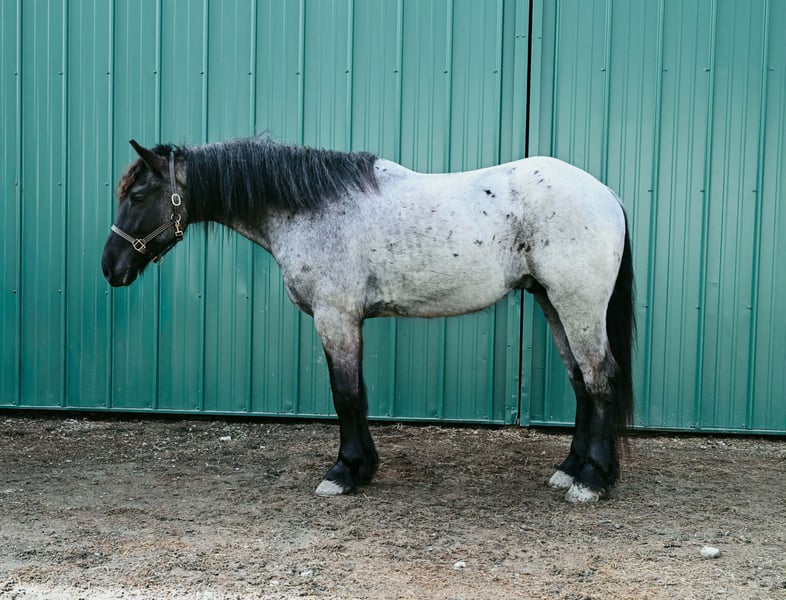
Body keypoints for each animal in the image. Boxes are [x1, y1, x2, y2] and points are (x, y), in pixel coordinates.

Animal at [101, 136, 635, 503]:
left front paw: (344, 472)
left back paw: (591, 481)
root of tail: (606, 194)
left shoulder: (335, 317)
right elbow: (355, 392)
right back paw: (570, 469)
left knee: (600, 378)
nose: (111, 268)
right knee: (581, 382)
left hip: (576, 304)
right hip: (551, 302)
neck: (311, 208)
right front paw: (362, 468)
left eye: (138, 195)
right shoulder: (346, 320)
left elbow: (345, 394)